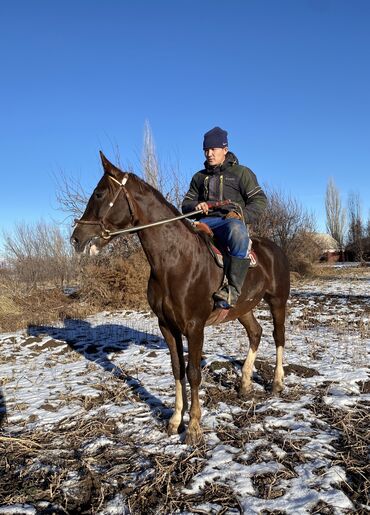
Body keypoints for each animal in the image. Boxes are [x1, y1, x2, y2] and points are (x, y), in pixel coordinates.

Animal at [71, 151, 290, 446]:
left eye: (99, 193)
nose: (76, 239)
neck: (176, 261)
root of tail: (276, 249)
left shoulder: (194, 327)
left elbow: (194, 372)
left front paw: (194, 428)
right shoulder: (167, 325)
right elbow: (177, 369)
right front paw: (175, 421)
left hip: (278, 301)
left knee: (278, 337)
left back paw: (277, 383)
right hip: (242, 307)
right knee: (255, 333)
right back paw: (244, 383)